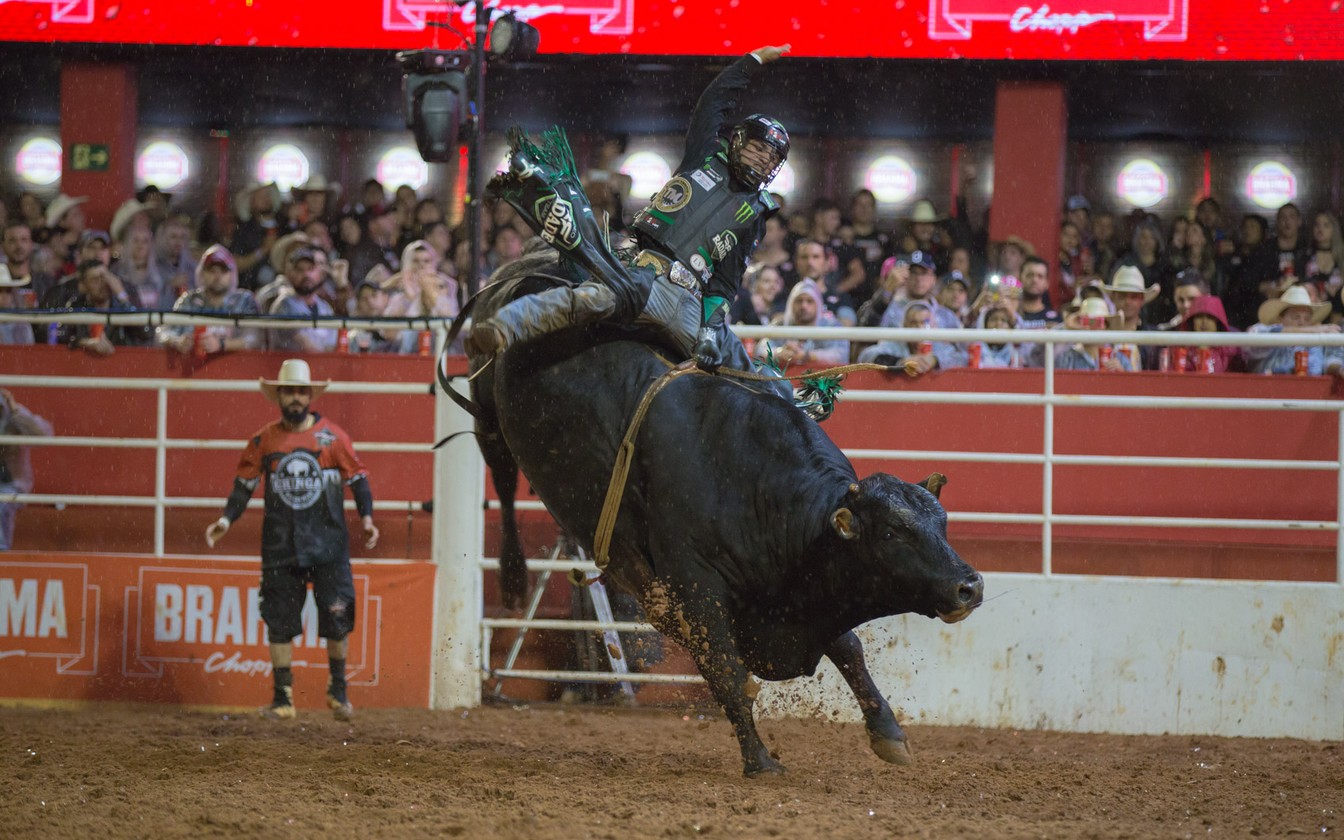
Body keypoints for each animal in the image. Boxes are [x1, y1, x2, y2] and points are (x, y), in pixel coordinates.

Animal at [446, 248, 983, 774]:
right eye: (892, 532)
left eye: (942, 523)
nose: (970, 585)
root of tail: (530, 263)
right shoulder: (694, 588)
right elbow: (726, 671)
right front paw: (760, 760)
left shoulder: (807, 596)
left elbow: (849, 649)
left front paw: (889, 733)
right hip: (488, 417)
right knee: (504, 483)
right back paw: (514, 578)